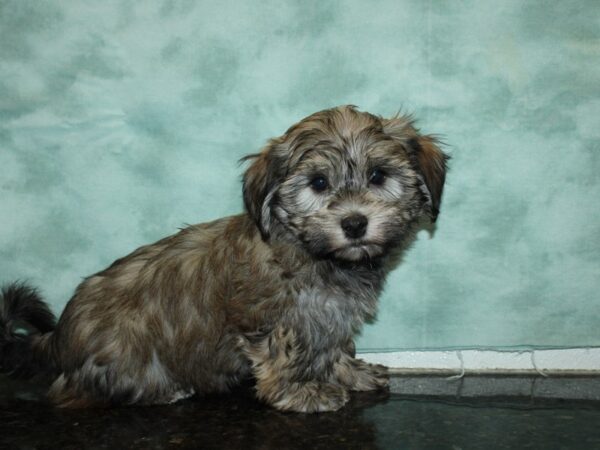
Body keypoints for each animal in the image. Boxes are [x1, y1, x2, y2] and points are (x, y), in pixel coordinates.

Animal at [0, 104, 448, 412]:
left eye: (378, 176)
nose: (354, 223)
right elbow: (283, 353)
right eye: (319, 183)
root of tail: (56, 341)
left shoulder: (329, 315)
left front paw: (350, 372)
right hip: (126, 351)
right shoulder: (266, 317)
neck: (315, 253)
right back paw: (166, 390)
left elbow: (333, 346)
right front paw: (299, 392)